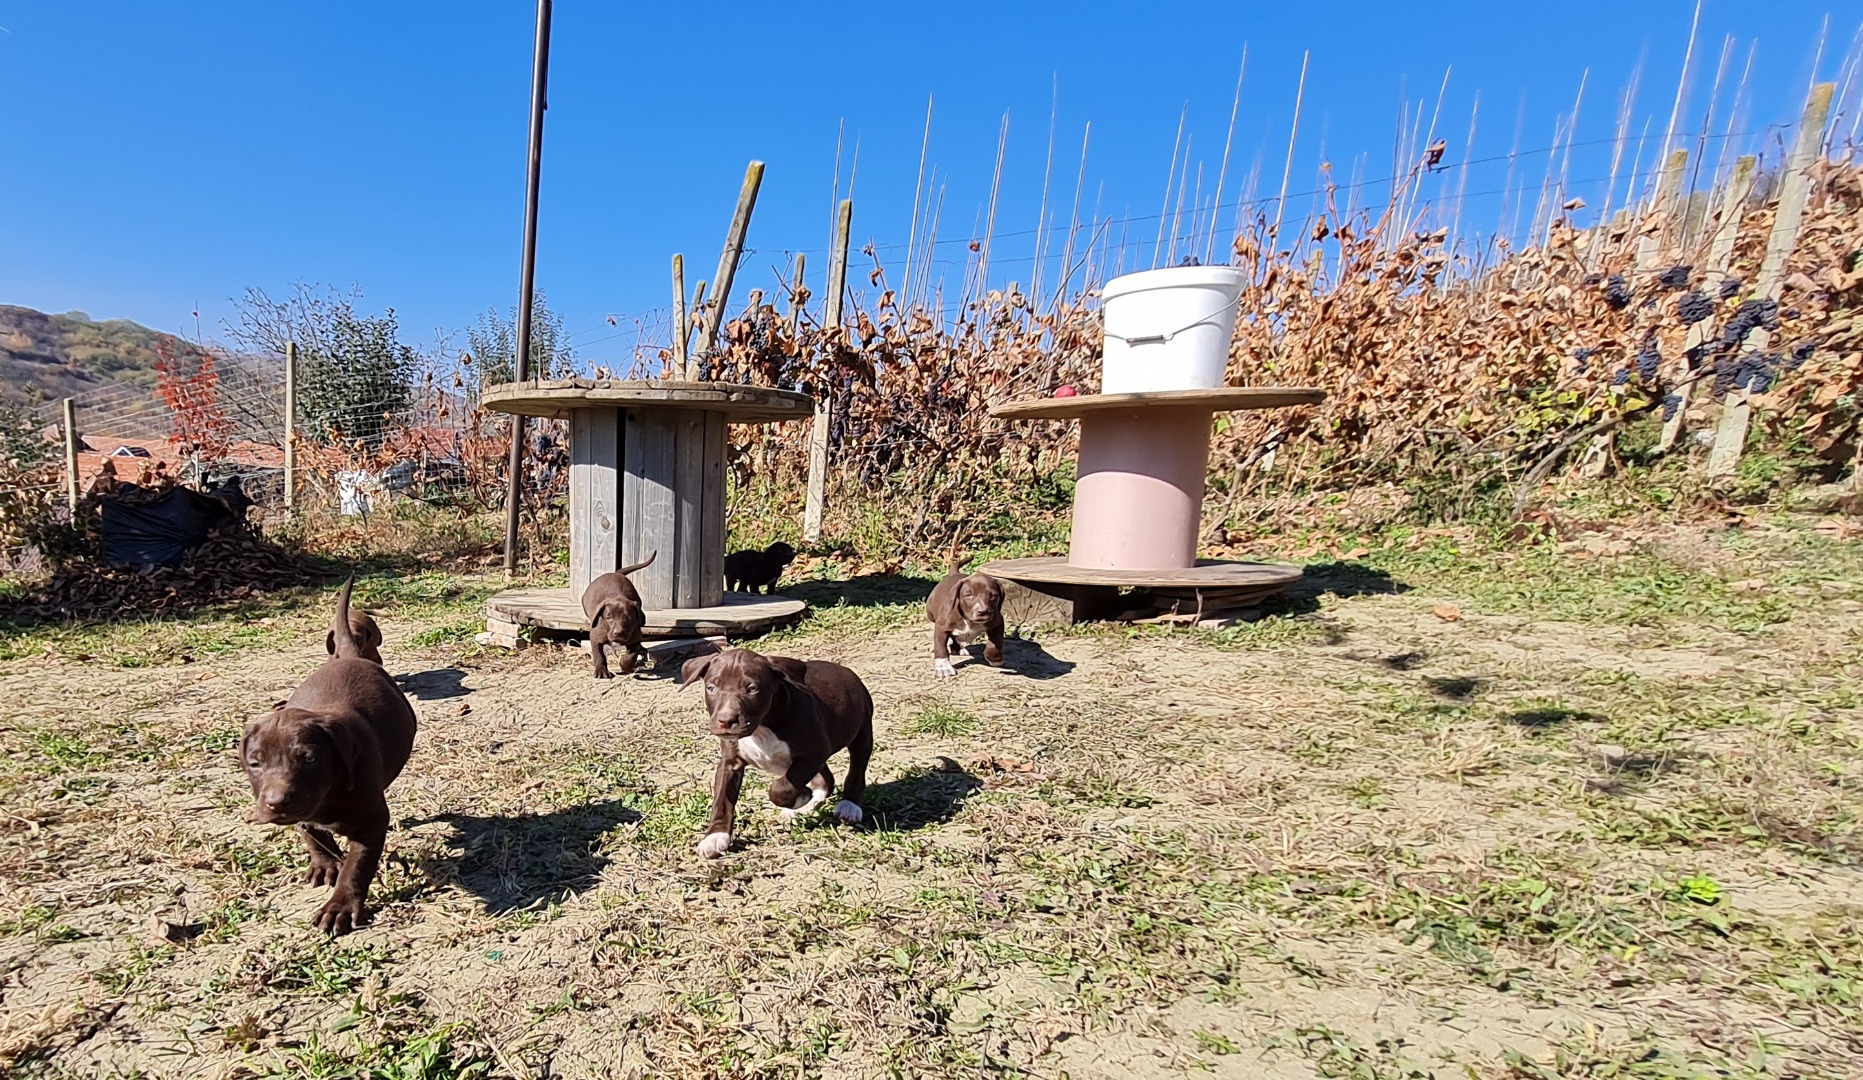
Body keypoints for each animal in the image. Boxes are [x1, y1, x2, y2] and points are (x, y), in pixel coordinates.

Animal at [239, 577, 418, 935]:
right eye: (255, 763)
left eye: (309, 758)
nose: (276, 803)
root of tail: (346, 655)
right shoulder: (304, 813)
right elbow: (311, 833)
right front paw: (324, 863)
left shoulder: (370, 821)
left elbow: (356, 867)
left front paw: (340, 907)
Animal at [679, 648, 873, 858]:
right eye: (711, 688)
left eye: (752, 689)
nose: (726, 720)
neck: (761, 728)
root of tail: (845, 670)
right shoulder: (730, 762)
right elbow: (722, 799)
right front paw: (715, 836)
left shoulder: (813, 752)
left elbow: (779, 789)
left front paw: (801, 797)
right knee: (826, 780)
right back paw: (806, 807)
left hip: (861, 732)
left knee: (856, 769)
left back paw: (848, 806)